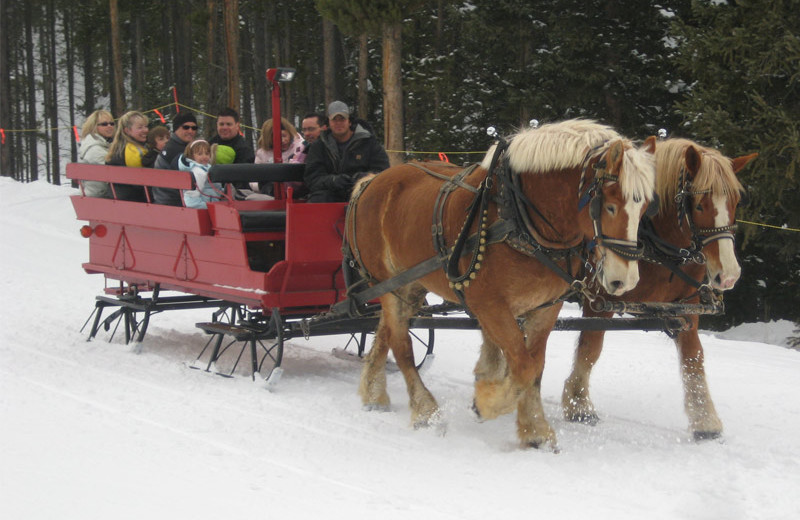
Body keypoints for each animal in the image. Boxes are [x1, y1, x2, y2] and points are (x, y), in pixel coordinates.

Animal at [346, 120, 656, 448]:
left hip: (409, 284)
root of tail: (372, 181)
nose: (625, 279)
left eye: (646, 207)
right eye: (610, 206)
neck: (521, 219)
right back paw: (424, 410)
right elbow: (523, 367)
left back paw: (374, 393)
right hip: (387, 283)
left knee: (386, 332)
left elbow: (535, 367)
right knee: (402, 345)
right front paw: (487, 401)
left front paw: (534, 430)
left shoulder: (546, 308)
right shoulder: (490, 306)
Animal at [560, 137, 752, 438]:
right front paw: (578, 404)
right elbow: (590, 348)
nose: (729, 276)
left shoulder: (686, 308)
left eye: (735, 202)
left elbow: (694, 356)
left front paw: (705, 419)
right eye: (699, 205)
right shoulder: (600, 300)